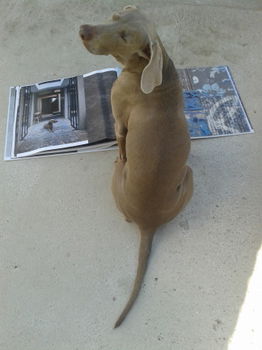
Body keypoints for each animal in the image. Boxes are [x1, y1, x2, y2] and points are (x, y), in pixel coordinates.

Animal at [79, 5, 192, 328]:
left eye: (125, 36)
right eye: (115, 17)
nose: (83, 30)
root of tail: (148, 223)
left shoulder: (118, 120)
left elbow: (120, 142)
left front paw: (119, 154)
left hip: (118, 180)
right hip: (188, 176)